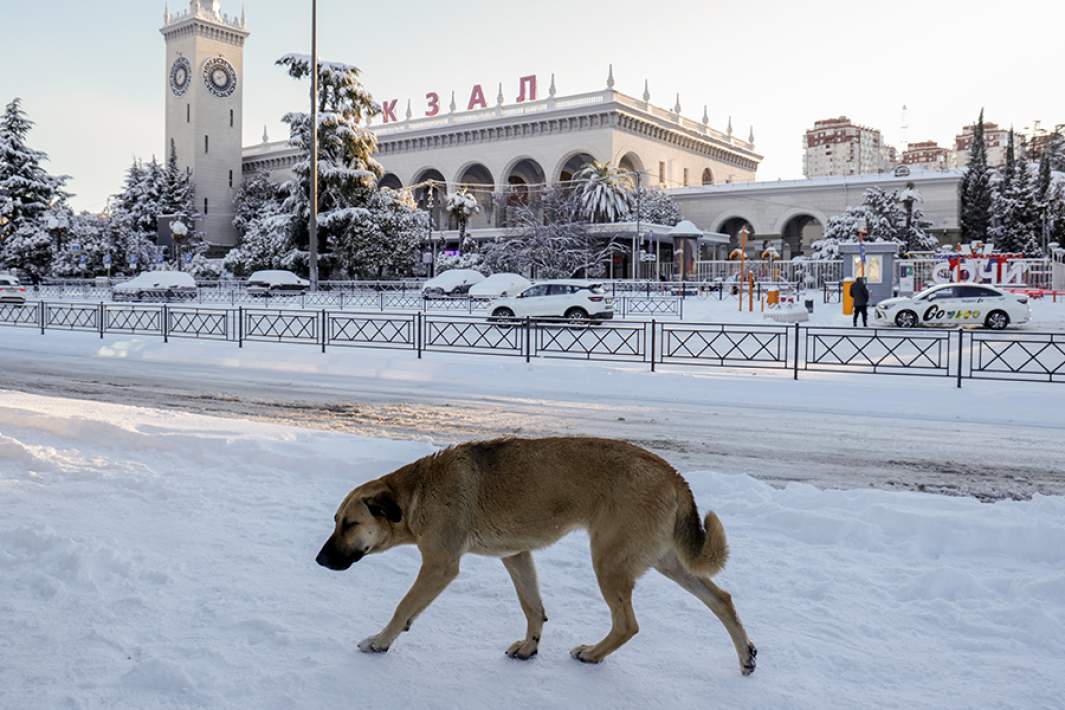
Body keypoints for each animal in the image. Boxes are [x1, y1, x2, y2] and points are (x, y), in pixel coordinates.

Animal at [315, 436, 758, 677]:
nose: (319, 561)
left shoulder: (439, 565)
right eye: (336, 521)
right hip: (666, 561)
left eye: (350, 525)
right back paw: (746, 656)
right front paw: (530, 648)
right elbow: (532, 607)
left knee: (627, 624)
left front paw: (379, 641)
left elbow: (403, 607)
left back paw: (593, 654)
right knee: (722, 599)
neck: (416, 493)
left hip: (610, 561)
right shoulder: (516, 555)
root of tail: (672, 473)